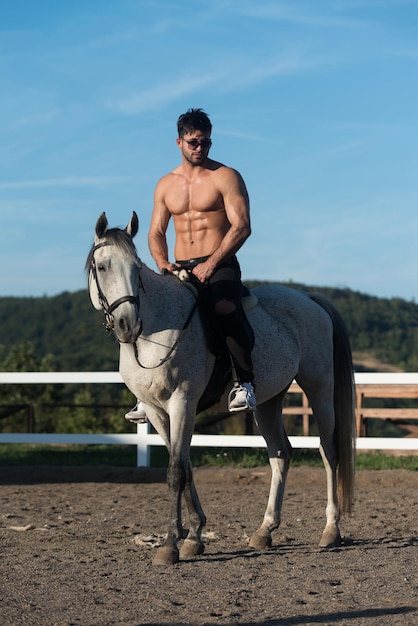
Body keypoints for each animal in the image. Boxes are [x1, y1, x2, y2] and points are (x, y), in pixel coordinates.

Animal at [86, 211, 354, 564]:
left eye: (136, 269)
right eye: (102, 267)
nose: (127, 324)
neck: (156, 330)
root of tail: (309, 298)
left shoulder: (182, 402)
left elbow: (176, 471)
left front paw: (171, 545)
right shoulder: (157, 411)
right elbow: (183, 465)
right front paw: (193, 536)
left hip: (319, 386)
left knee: (328, 451)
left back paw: (331, 530)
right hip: (268, 402)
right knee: (280, 454)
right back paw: (264, 531)